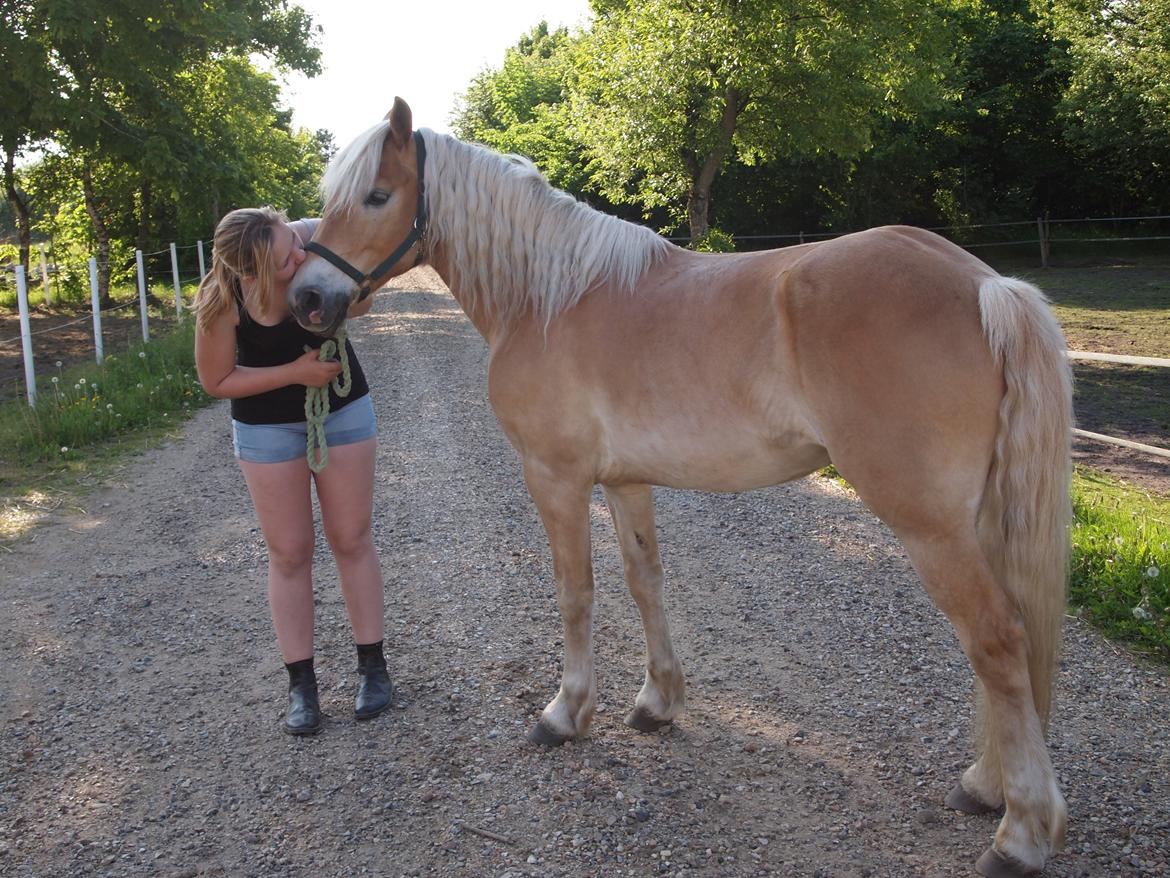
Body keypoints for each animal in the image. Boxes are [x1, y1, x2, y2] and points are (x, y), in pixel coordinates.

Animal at [287, 97, 1071, 878]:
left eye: (377, 195)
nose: (306, 298)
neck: (547, 297)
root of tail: (984, 284)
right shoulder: (625, 481)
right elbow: (644, 582)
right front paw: (657, 702)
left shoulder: (555, 476)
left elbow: (576, 592)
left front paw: (566, 713)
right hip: (980, 520)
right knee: (1011, 645)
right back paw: (985, 787)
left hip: (931, 527)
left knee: (997, 639)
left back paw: (1021, 834)